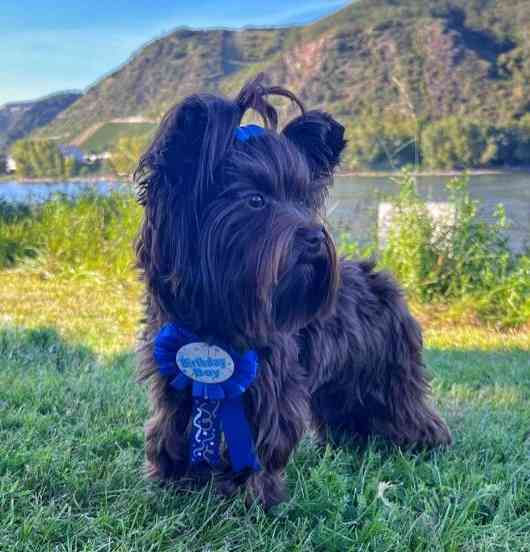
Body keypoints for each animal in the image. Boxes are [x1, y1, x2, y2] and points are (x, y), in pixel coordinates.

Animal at [133, 72, 450, 508]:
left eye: (302, 199)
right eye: (255, 200)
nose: (315, 236)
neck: (220, 312)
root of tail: (380, 279)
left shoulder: (269, 380)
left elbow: (262, 439)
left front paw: (248, 496)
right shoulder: (174, 375)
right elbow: (170, 427)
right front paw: (171, 481)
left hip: (388, 371)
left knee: (404, 406)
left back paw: (424, 443)